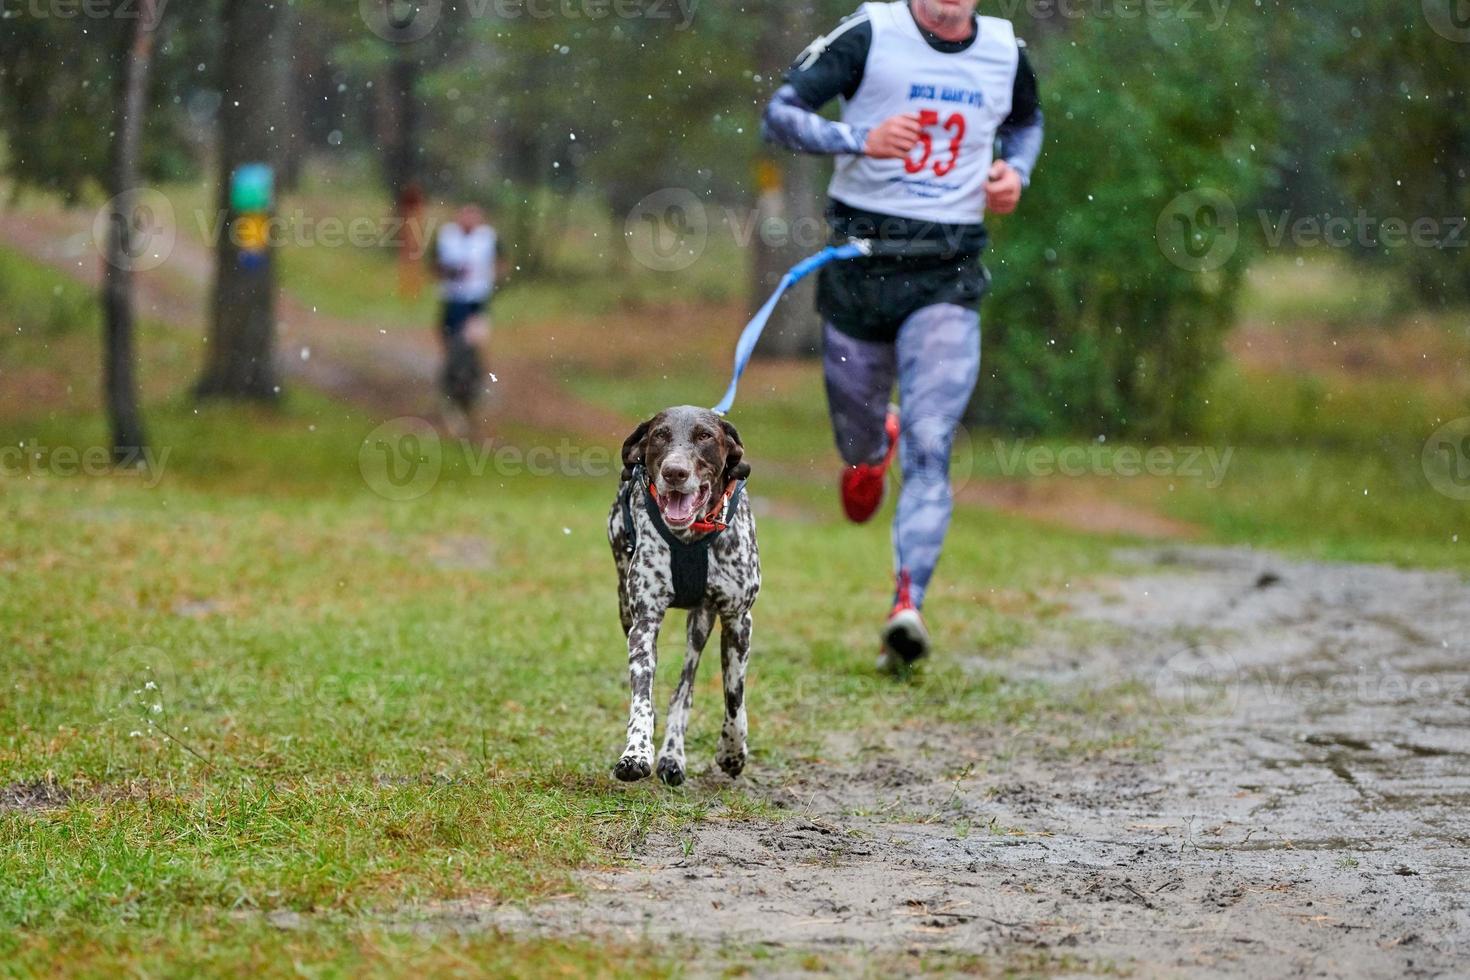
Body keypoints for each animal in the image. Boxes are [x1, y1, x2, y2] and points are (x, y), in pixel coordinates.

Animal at [605, 405, 764, 787]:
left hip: (700, 623)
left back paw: (673, 755)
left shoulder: (738, 620)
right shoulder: (643, 624)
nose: (674, 471)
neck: (692, 537)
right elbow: (642, 698)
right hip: (625, 608)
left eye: (705, 436)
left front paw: (732, 751)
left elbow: (734, 696)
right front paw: (636, 752)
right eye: (660, 435)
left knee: (685, 688)